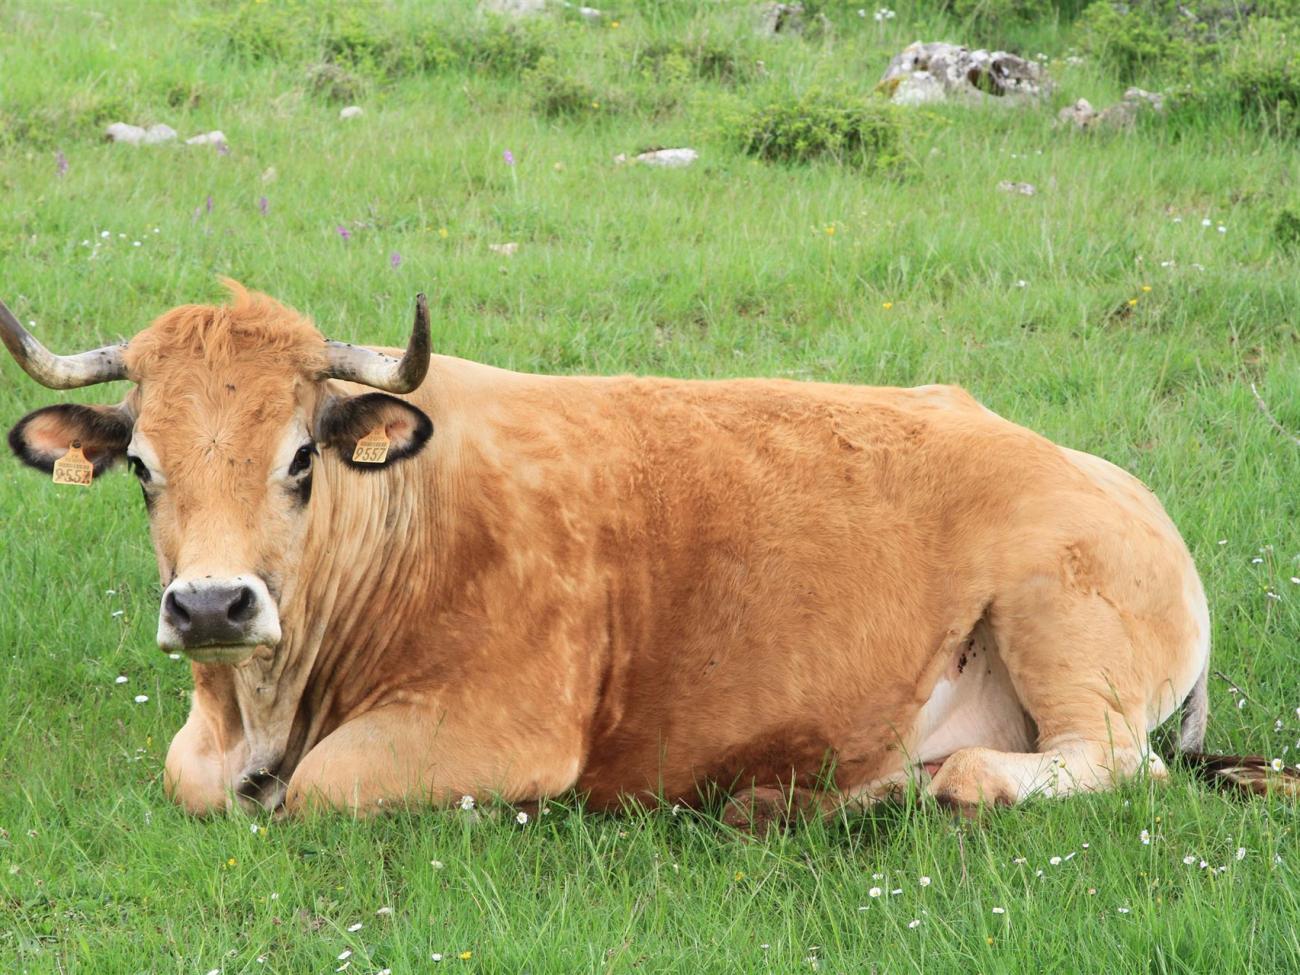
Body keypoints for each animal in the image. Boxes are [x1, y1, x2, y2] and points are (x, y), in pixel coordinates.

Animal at [2, 283, 1289, 821]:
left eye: (300, 460)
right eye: (141, 465)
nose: (212, 606)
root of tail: (1117, 483)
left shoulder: (501, 731)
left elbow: (315, 794)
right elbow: (196, 782)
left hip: (1056, 622)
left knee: (1080, 768)